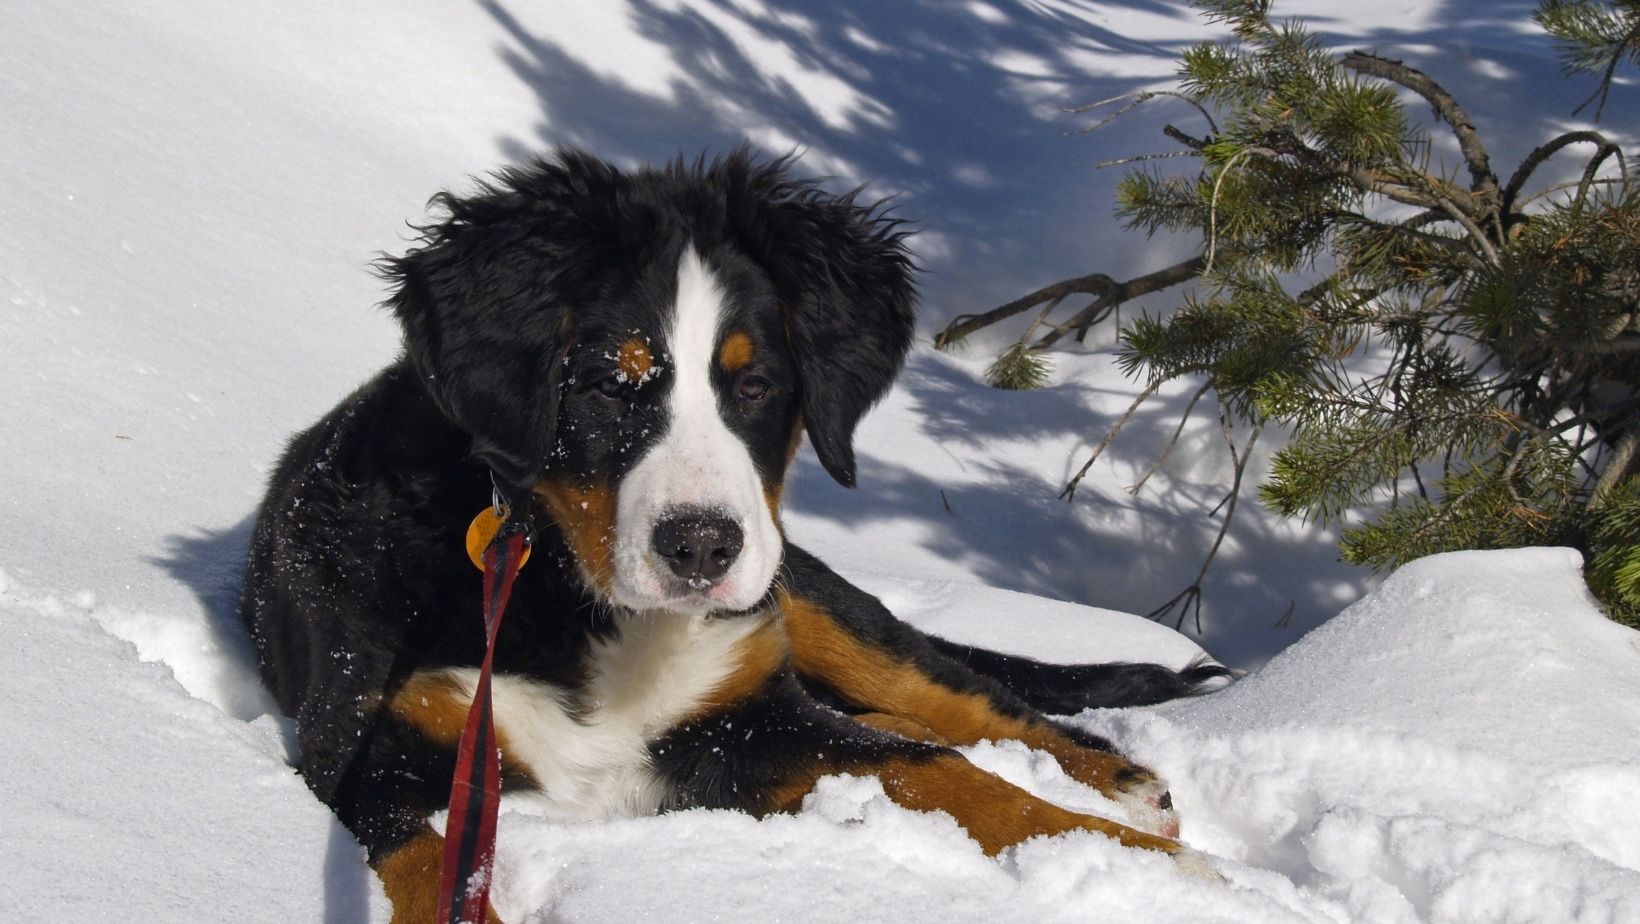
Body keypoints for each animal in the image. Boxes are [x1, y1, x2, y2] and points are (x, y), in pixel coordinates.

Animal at [239, 148, 1220, 919]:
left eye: (755, 387)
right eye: (607, 385)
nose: (703, 549)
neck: (565, 590)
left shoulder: (744, 716)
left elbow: (945, 771)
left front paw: (1167, 877)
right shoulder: (363, 747)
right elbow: (424, 869)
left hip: (803, 598)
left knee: (960, 696)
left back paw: (1124, 787)